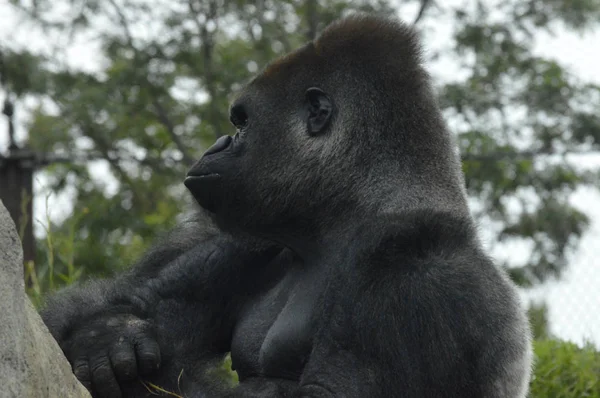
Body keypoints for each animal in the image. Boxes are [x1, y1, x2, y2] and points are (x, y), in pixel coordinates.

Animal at [41, 14, 528, 398]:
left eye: (242, 122)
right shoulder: (255, 237)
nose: (217, 144)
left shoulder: (413, 267)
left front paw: (113, 343)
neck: (347, 212)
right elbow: (137, 302)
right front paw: (109, 333)